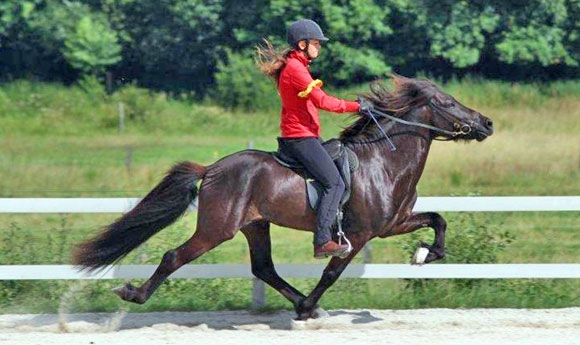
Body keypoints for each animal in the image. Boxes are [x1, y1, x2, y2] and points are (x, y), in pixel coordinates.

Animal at [70, 74, 492, 320]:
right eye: (447, 103)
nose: (486, 123)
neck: (382, 162)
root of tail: (212, 169)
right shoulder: (358, 236)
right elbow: (331, 272)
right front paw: (309, 307)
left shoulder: (392, 224)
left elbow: (438, 220)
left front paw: (426, 255)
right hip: (216, 229)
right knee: (174, 257)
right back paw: (133, 293)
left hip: (255, 226)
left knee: (264, 268)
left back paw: (299, 301)